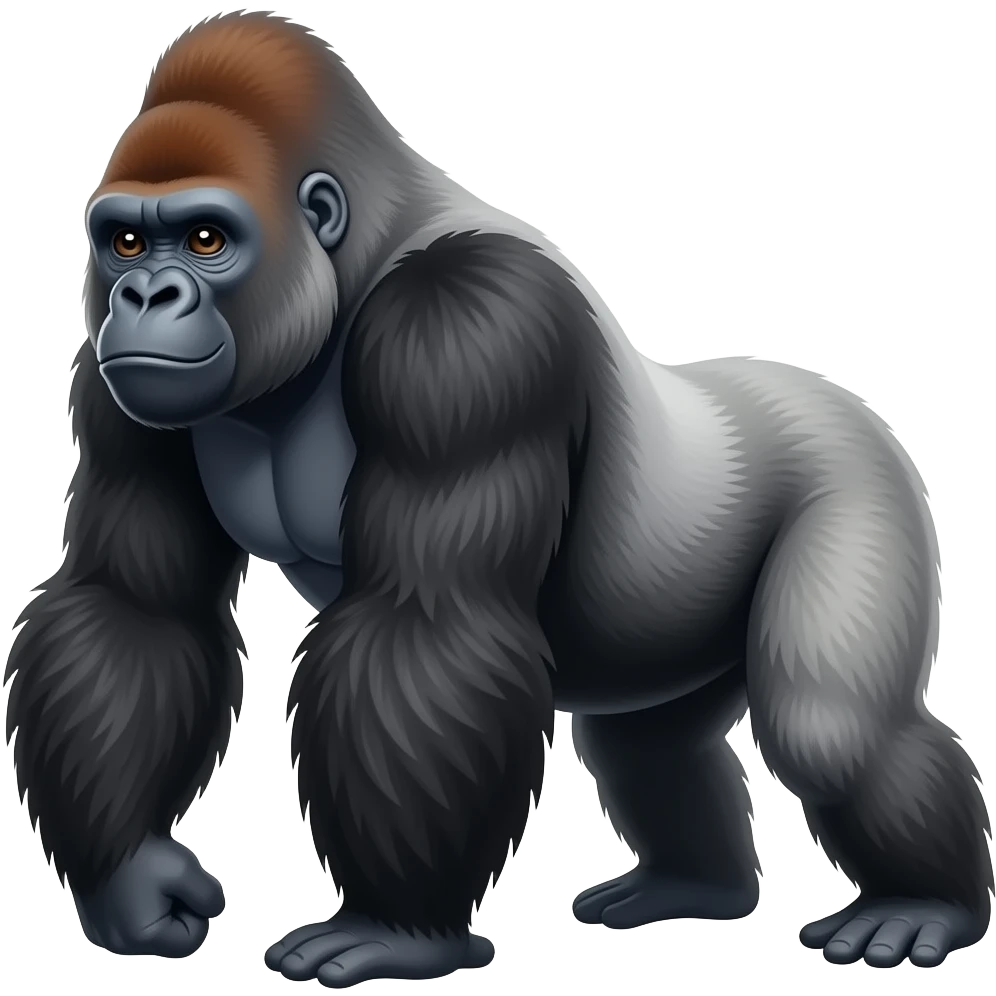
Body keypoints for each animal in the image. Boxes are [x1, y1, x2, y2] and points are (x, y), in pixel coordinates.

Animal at [4, 9, 991, 987]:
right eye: (126, 241)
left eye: (208, 239)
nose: (144, 295)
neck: (358, 256)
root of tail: (829, 392)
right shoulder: (111, 380)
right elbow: (135, 604)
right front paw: (132, 878)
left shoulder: (467, 329)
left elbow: (426, 620)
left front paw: (398, 930)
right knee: (649, 745)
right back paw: (693, 885)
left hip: (858, 473)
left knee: (832, 729)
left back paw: (924, 904)